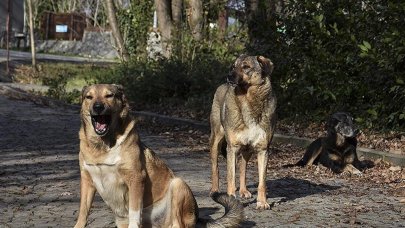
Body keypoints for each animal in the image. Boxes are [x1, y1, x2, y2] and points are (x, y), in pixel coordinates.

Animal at [74, 84, 241, 228]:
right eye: (89, 97)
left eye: (109, 95)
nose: (98, 107)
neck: (102, 145)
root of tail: (197, 217)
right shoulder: (87, 180)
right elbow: (83, 210)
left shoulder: (135, 178)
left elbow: (134, 213)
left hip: (177, 185)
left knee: (177, 224)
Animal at [208, 54, 278, 209]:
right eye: (233, 66)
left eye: (246, 67)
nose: (228, 76)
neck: (248, 100)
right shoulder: (232, 148)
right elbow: (230, 177)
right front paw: (231, 199)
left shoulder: (263, 150)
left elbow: (261, 182)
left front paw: (262, 202)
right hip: (216, 141)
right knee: (216, 168)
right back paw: (215, 190)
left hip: (247, 150)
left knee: (243, 168)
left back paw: (244, 190)